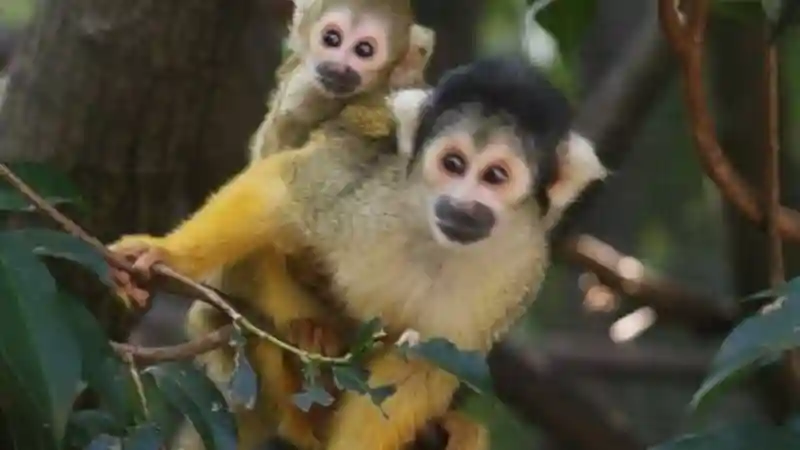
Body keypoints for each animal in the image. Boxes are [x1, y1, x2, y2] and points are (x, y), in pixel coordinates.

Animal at [110, 55, 606, 450]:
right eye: (453, 164)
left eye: (495, 176)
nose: (459, 205)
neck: (437, 242)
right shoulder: (374, 192)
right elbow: (285, 188)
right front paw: (166, 253)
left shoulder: (520, 268)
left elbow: (423, 365)